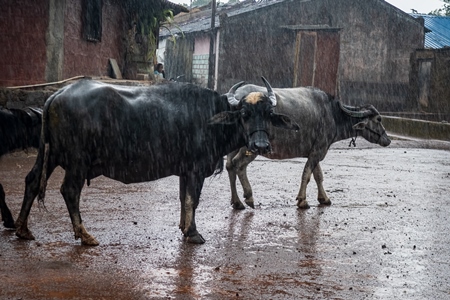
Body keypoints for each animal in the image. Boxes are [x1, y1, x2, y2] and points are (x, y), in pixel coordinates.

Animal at [14, 77, 298, 244]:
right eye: (244, 113)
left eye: (268, 113)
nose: (260, 145)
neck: (211, 117)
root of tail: (58, 94)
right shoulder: (195, 170)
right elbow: (193, 200)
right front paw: (193, 233)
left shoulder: (185, 171)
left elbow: (184, 199)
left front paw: (184, 227)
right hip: (76, 161)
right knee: (70, 191)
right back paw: (84, 235)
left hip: (52, 155)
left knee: (31, 181)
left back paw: (22, 229)